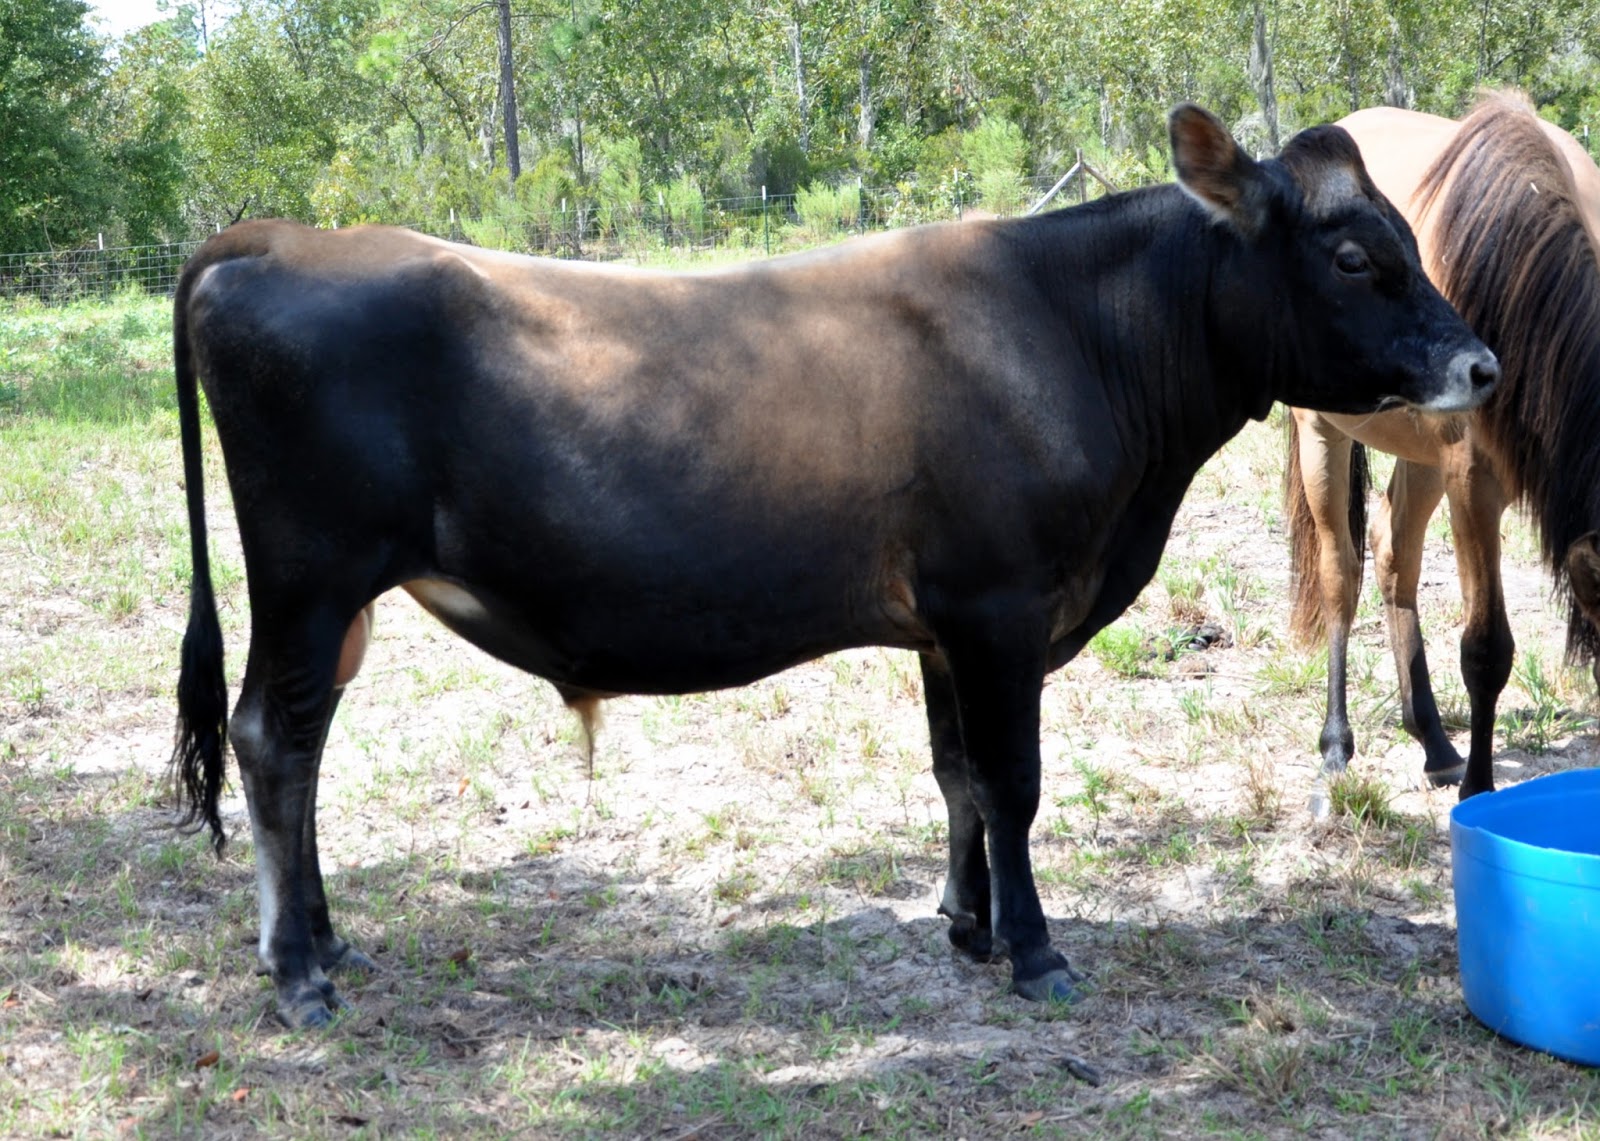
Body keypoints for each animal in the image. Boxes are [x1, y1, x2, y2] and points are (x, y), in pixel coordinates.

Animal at [170, 105, 1496, 1029]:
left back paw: (331, 942)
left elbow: (957, 778)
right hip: (309, 577)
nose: (1479, 365)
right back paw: (298, 974)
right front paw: (1035, 952)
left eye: (1404, 234)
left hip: (337, 598)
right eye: (1351, 255)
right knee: (272, 738)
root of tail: (271, 241)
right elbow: (1010, 780)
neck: (1075, 332)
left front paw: (967, 925)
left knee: (304, 746)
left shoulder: (944, 622)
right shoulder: (1000, 604)